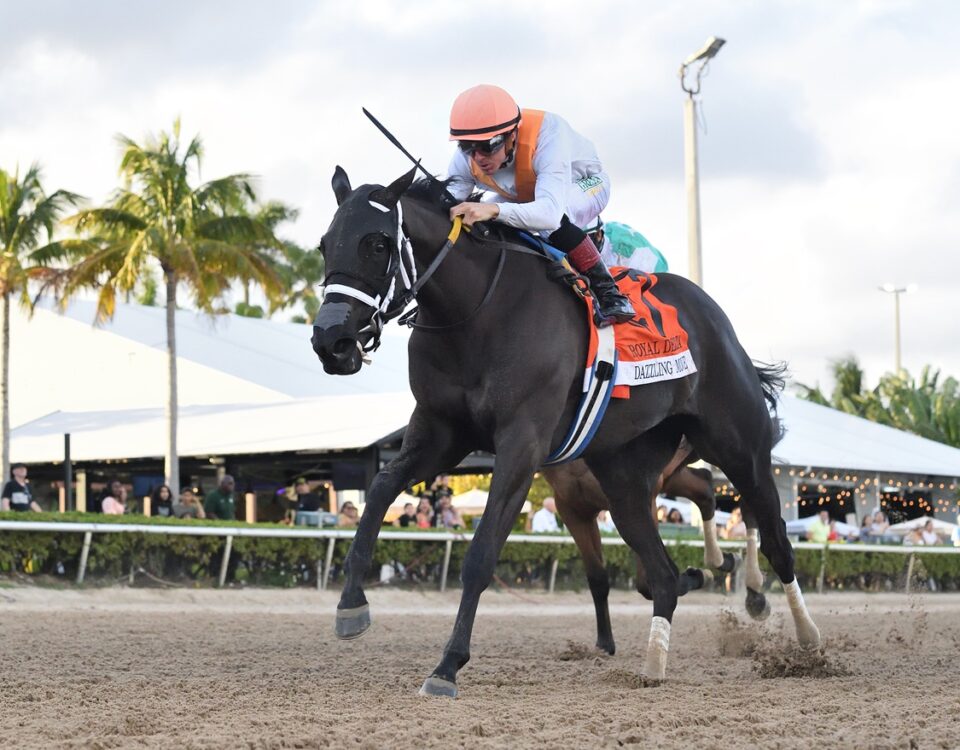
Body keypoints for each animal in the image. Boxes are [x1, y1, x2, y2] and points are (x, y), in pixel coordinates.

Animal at [312, 166, 820, 700]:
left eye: (376, 243)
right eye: (324, 244)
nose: (330, 341)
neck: (478, 313)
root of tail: (714, 317)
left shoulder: (522, 443)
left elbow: (481, 553)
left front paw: (448, 665)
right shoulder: (441, 433)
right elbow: (379, 491)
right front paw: (351, 606)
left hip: (739, 448)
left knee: (774, 539)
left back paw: (806, 640)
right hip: (625, 477)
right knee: (662, 573)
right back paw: (654, 663)